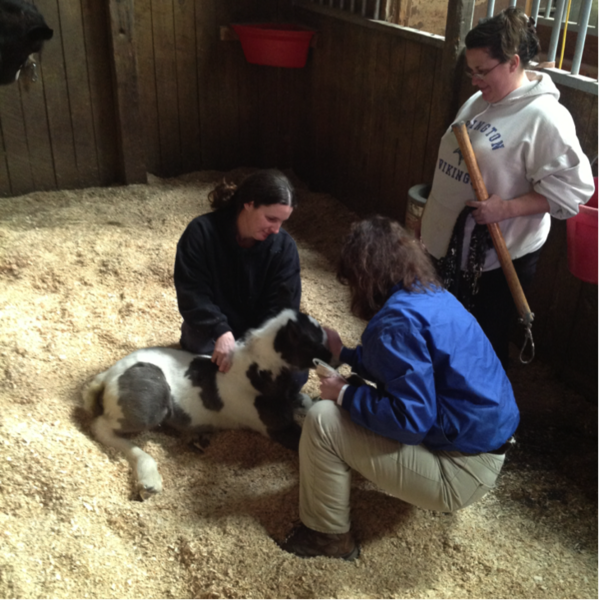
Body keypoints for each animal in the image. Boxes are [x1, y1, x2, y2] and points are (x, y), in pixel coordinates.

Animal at [82, 308, 330, 500]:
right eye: (311, 340)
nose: (333, 357)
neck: (256, 376)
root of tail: (108, 375)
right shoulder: (277, 428)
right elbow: (303, 440)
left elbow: (307, 402)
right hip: (150, 405)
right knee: (101, 427)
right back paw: (149, 482)